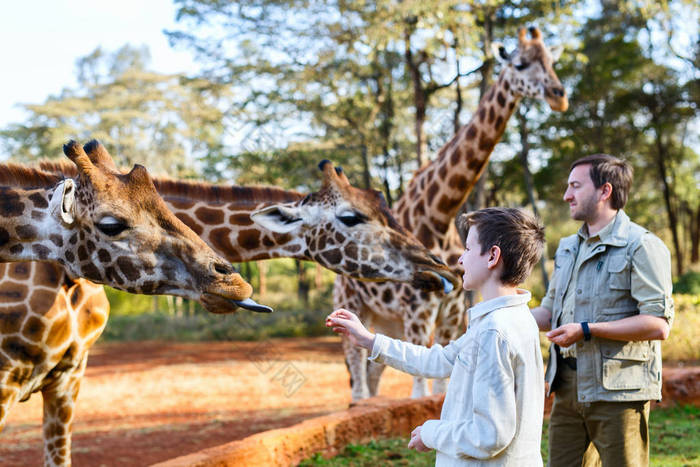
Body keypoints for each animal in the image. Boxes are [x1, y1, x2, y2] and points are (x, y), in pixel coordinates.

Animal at [336, 25, 572, 400]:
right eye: (519, 64)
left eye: (551, 61)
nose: (558, 95)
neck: (439, 214)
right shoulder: (418, 313)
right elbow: (421, 391)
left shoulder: (450, 315)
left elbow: (439, 382)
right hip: (355, 302)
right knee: (357, 378)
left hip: (385, 317)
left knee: (372, 376)